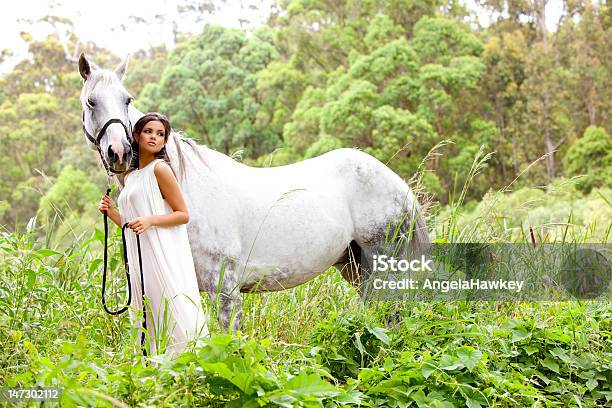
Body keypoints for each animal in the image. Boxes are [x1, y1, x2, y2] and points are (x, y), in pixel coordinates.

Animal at [77, 52, 430, 330]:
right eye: (91, 102)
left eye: (127, 100)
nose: (120, 153)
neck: (183, 191)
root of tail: (398, 184)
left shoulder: (225, 289)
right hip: (355, 266)